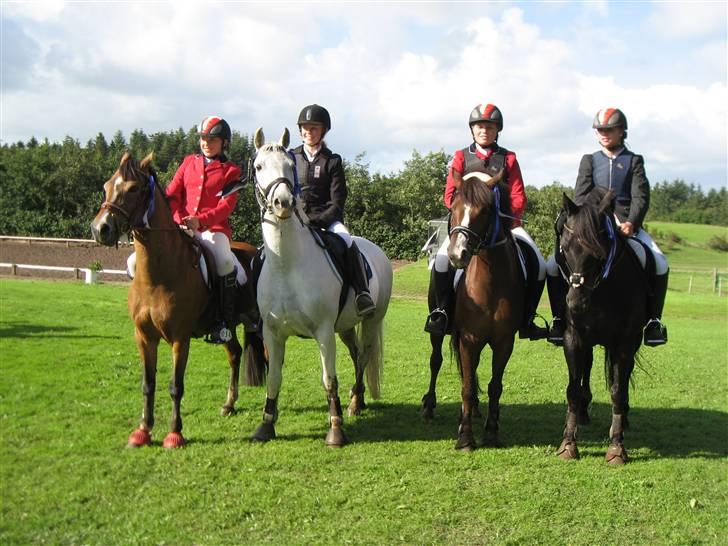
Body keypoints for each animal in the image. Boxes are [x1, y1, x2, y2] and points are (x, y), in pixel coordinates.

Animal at [90, 151, 266, 444]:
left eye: (133, 188)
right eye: (106, 186)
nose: (100, 229)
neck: (158, 276)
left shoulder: (179, 339)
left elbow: (175, 385)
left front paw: (174, 433)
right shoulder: (144, 337)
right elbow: (148, 384)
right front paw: (143, 430)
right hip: (228, 327)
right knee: (235, 354)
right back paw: (229, 404)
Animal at [253, 129, 396, 446]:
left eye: (290, 166)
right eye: (258, 166)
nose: (283, 203)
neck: (287, 264)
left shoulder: (322, 331)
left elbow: (328, 379)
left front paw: (335, 429)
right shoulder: (272, 332)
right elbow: (273, 378)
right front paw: (266, 425)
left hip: (371, 320)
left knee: (364, 354)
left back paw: (354, 403)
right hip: (345, 326)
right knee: (356, 353)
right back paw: (358, 402)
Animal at [420, 169, 524, 446]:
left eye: (486, 210)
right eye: (453, 206)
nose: (458, 255)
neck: (490, 284)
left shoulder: (504, 342)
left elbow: (494, 386)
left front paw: (491, 431)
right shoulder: (468, 338)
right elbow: (466, 385)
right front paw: (466, 437)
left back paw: (473, 410)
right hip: (440, 330)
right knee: (436, 360)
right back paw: (430, 406)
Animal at [556, 187, 648, 464]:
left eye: (598, 253)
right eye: (565, 248)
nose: (575, 304)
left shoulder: (624, 343)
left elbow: (618, 390)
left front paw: (617, 446)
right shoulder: (574, 338)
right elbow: (573, 389)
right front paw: (568, 443)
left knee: (624, 379)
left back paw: (624, 418)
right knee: (586, 367)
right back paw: (583, 414)